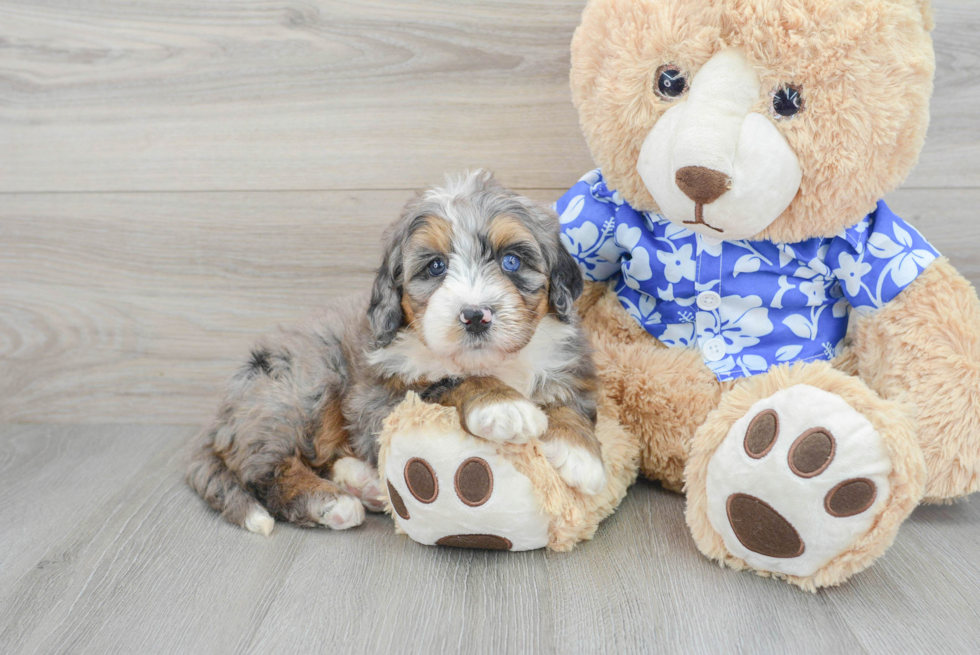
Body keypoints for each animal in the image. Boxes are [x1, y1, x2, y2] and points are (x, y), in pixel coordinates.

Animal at [188, 172, 604, 536]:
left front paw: (581, 454)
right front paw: (504, 406)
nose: (475, 315)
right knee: (264, 472)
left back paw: (363, 483)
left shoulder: (566, 360)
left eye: (512, 261)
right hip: (301, 387)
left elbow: (569, 400)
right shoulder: (382, 401)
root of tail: (221, 417)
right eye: (435, 266)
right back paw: (331, 503)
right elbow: (450, 382)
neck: (491, 362)